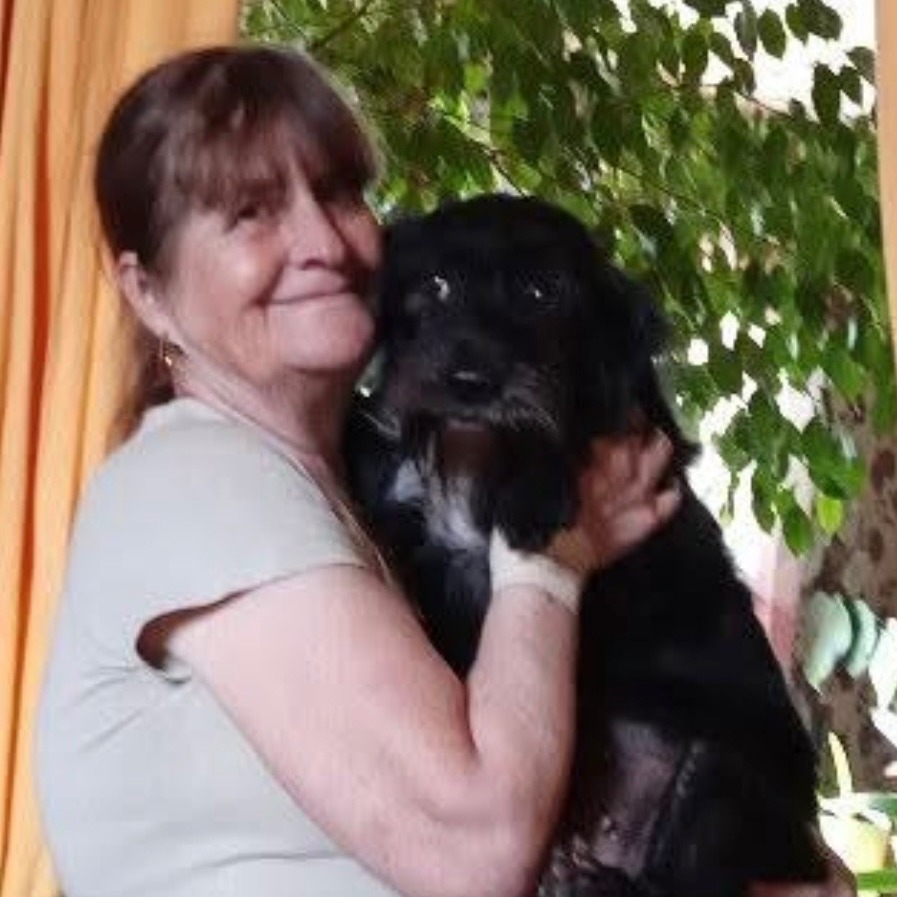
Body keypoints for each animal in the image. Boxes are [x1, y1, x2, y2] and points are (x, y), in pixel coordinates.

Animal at [345, 194, 827, 896]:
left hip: (726, 772)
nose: (469, 381)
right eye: (433, 285)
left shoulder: (649, 477)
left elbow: (580, 433)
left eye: (543, 292)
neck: (474, 454)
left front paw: (535, 489)